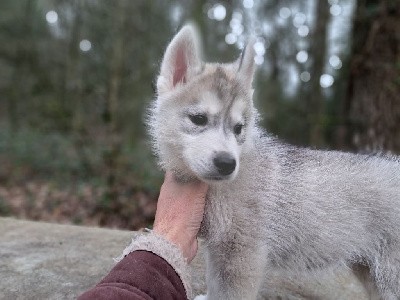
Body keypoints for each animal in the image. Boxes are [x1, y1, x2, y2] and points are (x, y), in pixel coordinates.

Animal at [149, 25, 400, 300]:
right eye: (198, 119)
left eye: (239, 128)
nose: (227, 164)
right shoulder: (220, 250)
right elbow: (215, 285)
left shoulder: (243, 253)